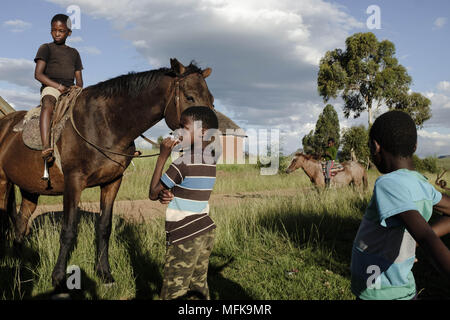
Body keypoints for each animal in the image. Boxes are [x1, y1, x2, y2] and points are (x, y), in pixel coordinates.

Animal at [0, 58, 214, 292]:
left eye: (211, 99)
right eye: (190, 97)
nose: (212, 137)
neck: (105, 123)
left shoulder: (112, 182)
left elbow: (104, 227)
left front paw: (105, 274)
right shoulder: (74, 182)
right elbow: (68, 230)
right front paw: (58, 278)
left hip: (30, 189)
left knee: (21, 224)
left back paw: (20, 265)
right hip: (3, 182)